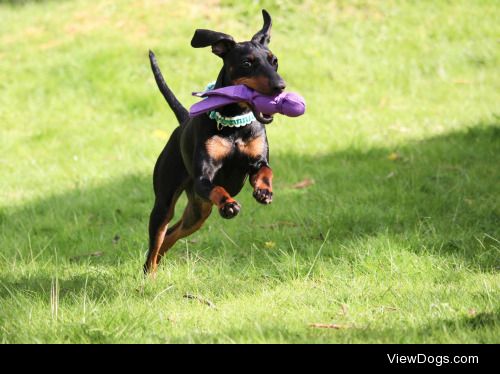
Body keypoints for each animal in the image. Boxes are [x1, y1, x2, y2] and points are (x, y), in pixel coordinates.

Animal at [145, 9, 286, 274]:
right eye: (247, 63)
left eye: (274, 61)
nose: (280, 87)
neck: (233, 125)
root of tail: (183, 120)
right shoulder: (203, 178)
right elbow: (217, 188)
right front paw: (229, 205)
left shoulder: (257, 162)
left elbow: (266, 171)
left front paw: (264, 191)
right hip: (166, 202)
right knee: (156, 241)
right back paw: (149, 273)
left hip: (197, 212)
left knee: (171, 235)